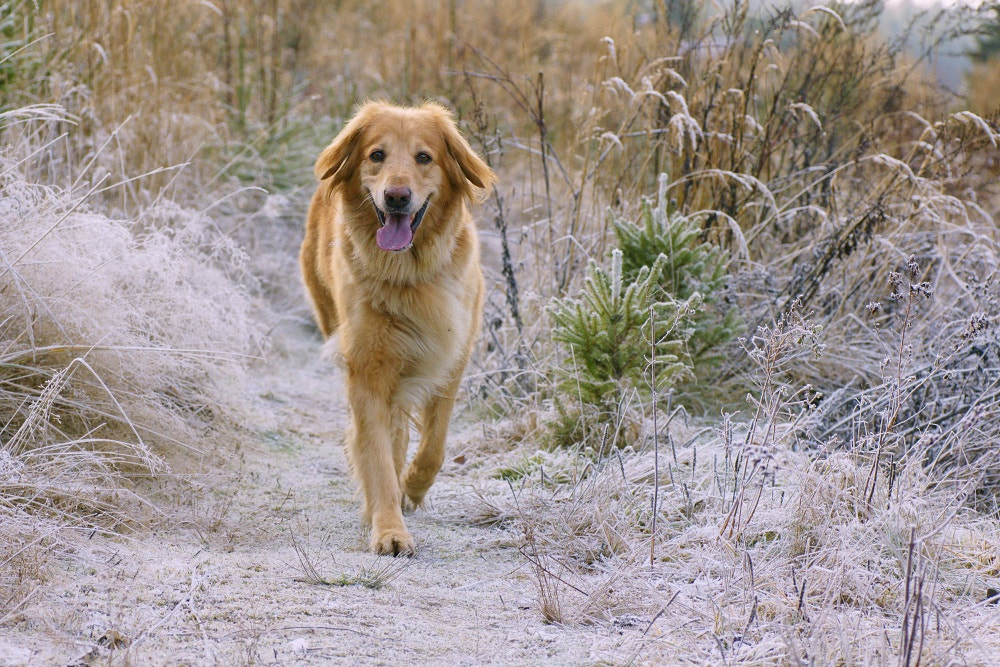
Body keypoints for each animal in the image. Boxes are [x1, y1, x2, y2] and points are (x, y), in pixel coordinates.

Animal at [298, 102, 498, 556]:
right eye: (377, 155)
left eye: (424, 157)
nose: (397, 196)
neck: (408, 273)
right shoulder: (367, 370)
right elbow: (376, 454)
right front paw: (388, 527)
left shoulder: (451, 358)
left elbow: (434, 447)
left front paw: (414, 485)